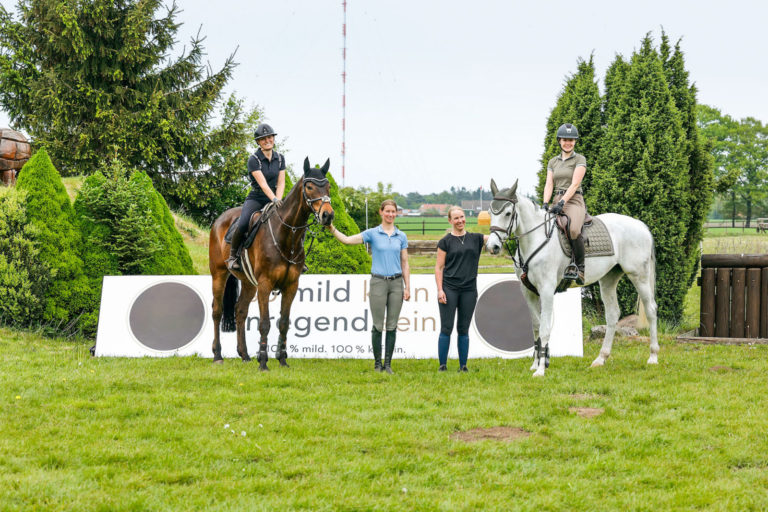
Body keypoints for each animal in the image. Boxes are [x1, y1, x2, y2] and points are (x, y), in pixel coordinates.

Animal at [208, 158, 334, 370]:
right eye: (309, 187)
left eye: (328, 187)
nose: (328, 215)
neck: (287, 234)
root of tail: (219, 219)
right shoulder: (265, 285)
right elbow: (265, 323)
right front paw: (263, 362)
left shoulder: (291, 286)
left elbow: (283, 322)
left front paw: (282, 360)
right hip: (219, 274)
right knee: (217, 311)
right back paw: (217, 355)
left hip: (249, 283)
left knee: (240, 311)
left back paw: (244, 355)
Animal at [486, 179, 660, 376]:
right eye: (490, 212)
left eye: (508, 213)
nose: (492, 246)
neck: (534, 239)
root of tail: (641, 225)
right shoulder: (528, 291)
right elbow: (536, 327)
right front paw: (537, 363)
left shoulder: (546, 290)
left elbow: (545, 328)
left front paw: (540, 370)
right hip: (608, 278)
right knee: (612, 314)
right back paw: (601, 359)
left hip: (639, 276)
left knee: (651, 310)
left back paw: (653, 357)